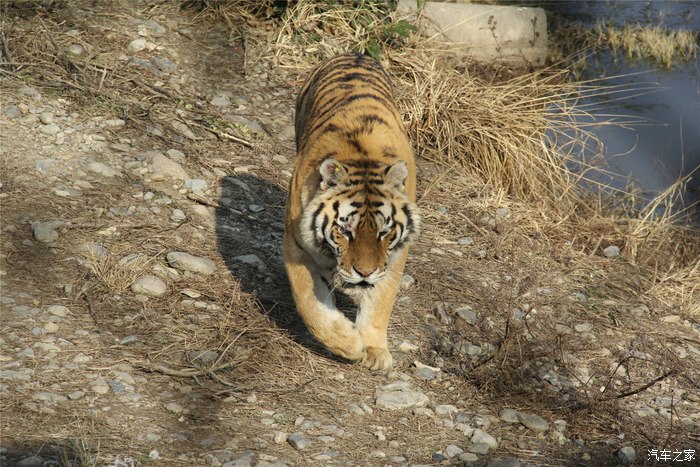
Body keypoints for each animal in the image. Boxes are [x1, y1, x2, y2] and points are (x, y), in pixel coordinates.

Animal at [282, 53, 418, 372]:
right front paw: (349, 344)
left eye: (384, 233)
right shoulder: (297, 245)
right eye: (345, 231)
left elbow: (380, 302)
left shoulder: (394, 257)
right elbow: (309, 300)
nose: (364, 273)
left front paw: (375, 351)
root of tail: (357, 53)